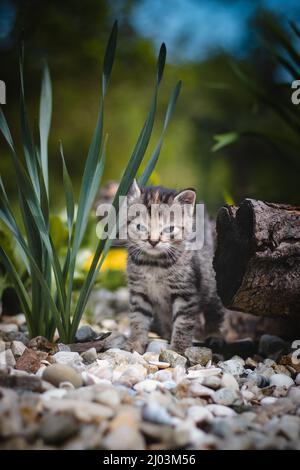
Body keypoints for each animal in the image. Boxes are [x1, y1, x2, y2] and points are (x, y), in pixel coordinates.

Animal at [124, 180, 223, 352]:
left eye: (169, 229)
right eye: (140, 227)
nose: (153, 241)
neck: (154, 264)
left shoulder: (186, 293)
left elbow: (184, 322)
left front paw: (179, 350)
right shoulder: (139, 291)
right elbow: (138, 317)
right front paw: (136, 342)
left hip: (212, 286)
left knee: (215, 312)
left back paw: (215, 335)